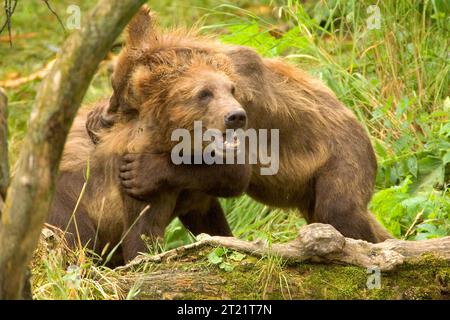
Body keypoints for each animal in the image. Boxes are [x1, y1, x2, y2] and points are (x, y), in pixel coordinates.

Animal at [49, 8, 253, 266]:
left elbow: (228, 188)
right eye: (203, 93)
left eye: (231, 89)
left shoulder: (198, 193)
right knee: (77, 238)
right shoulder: (128, 189)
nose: (236, 116)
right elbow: (141, 234)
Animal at [89, 6, 394, 242]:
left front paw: (141, 171)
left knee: (339, 208)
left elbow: (234, 168)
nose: (101, 122)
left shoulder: (244, 114)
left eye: (122, 97)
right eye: (114, 86)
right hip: (310, 186)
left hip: (339, 156)